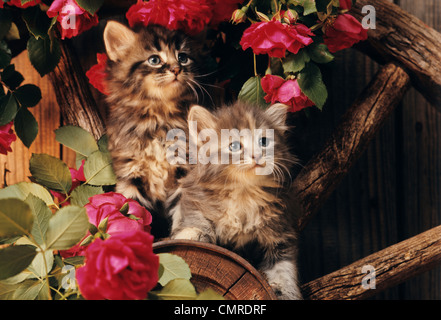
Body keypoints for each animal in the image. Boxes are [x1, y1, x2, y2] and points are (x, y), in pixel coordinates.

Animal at [103, 21, 203, 238]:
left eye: (183, 57)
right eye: (154, 60)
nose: (176, 69)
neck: (159, 117)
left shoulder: (186, 168)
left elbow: (185, 210)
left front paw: (185, 235)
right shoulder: (130, 173)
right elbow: (131, 210)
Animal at [168, 102, 302, 300]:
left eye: (264, 142)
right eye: (235, 146)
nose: (257, 156)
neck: (243, 193)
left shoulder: (280, 227)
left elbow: (283, 268)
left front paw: (284, 291)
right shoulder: (195, 199)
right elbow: (197, 222)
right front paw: (190, 235)